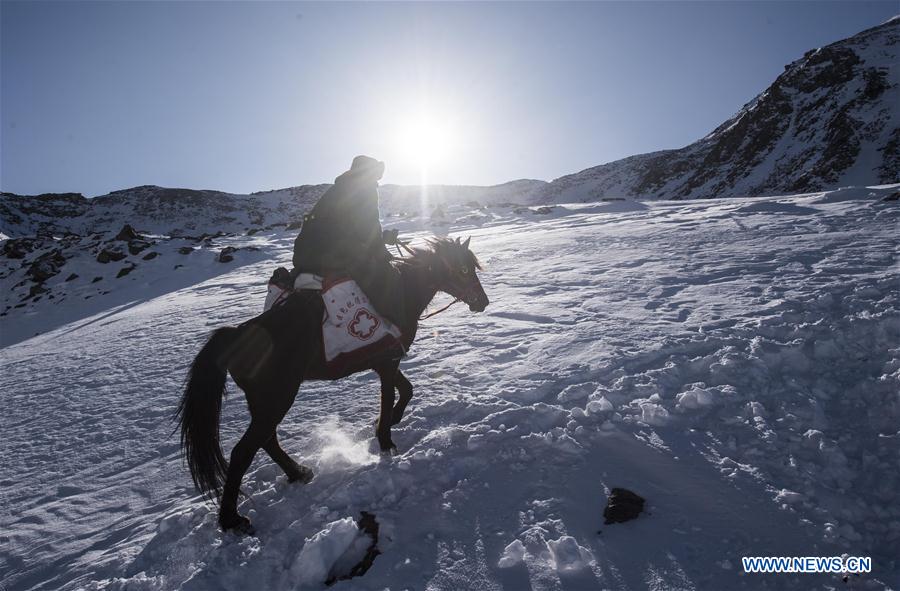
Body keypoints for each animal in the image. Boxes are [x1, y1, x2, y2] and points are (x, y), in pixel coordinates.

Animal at [174, 237, 486, 536]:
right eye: (463, 269)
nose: (482, 302)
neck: (401, 290)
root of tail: (235, 335)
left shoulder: (384, 361)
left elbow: (406, 390)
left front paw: (388, 423)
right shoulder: (387, 361)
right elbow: (390, 397)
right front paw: (386, 440)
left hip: (264, 401)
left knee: (266, 440)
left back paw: (298, 472)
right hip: (277, 397)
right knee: (243, 451)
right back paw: (232, 519)